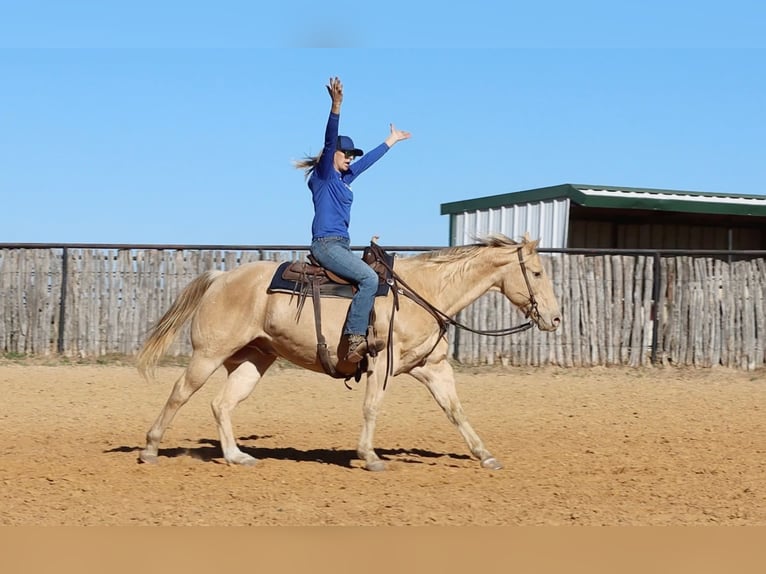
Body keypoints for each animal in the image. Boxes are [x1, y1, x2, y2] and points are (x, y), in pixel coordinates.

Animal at [136, 234, 564, 472]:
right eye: (537, 273)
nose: (556, 318)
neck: (426, 292)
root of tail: (221, 276)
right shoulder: (382, 364)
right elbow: (372, 407)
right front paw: (370, 457)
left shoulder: (434, 367)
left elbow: (456, 411)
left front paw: (485, 455)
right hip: (208, 353)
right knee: (179, 394)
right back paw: (151, 448)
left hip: (256, 359)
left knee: (222, 404)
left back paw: (237, 456)